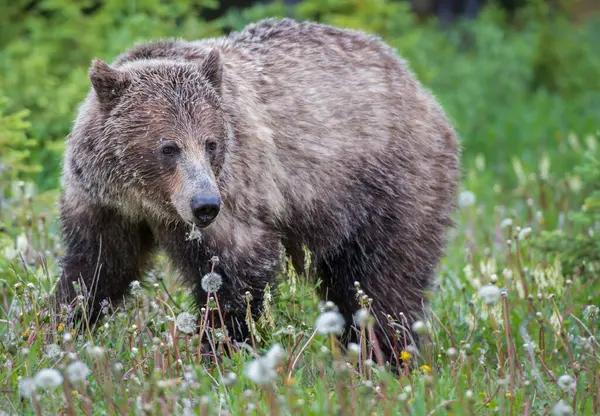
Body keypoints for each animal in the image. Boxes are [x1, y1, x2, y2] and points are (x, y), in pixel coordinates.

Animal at [55, 17, 460, 366]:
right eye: (168, 147)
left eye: (211, 143)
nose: (205, 205)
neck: (146, 199)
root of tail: (416, 85)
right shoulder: (104, 204)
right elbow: (95, 268)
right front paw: (62, 325)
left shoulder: (239, 191)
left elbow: (235, 276)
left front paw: (220, 350)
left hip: (388, 183)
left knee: (383, 279)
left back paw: (386, 357)